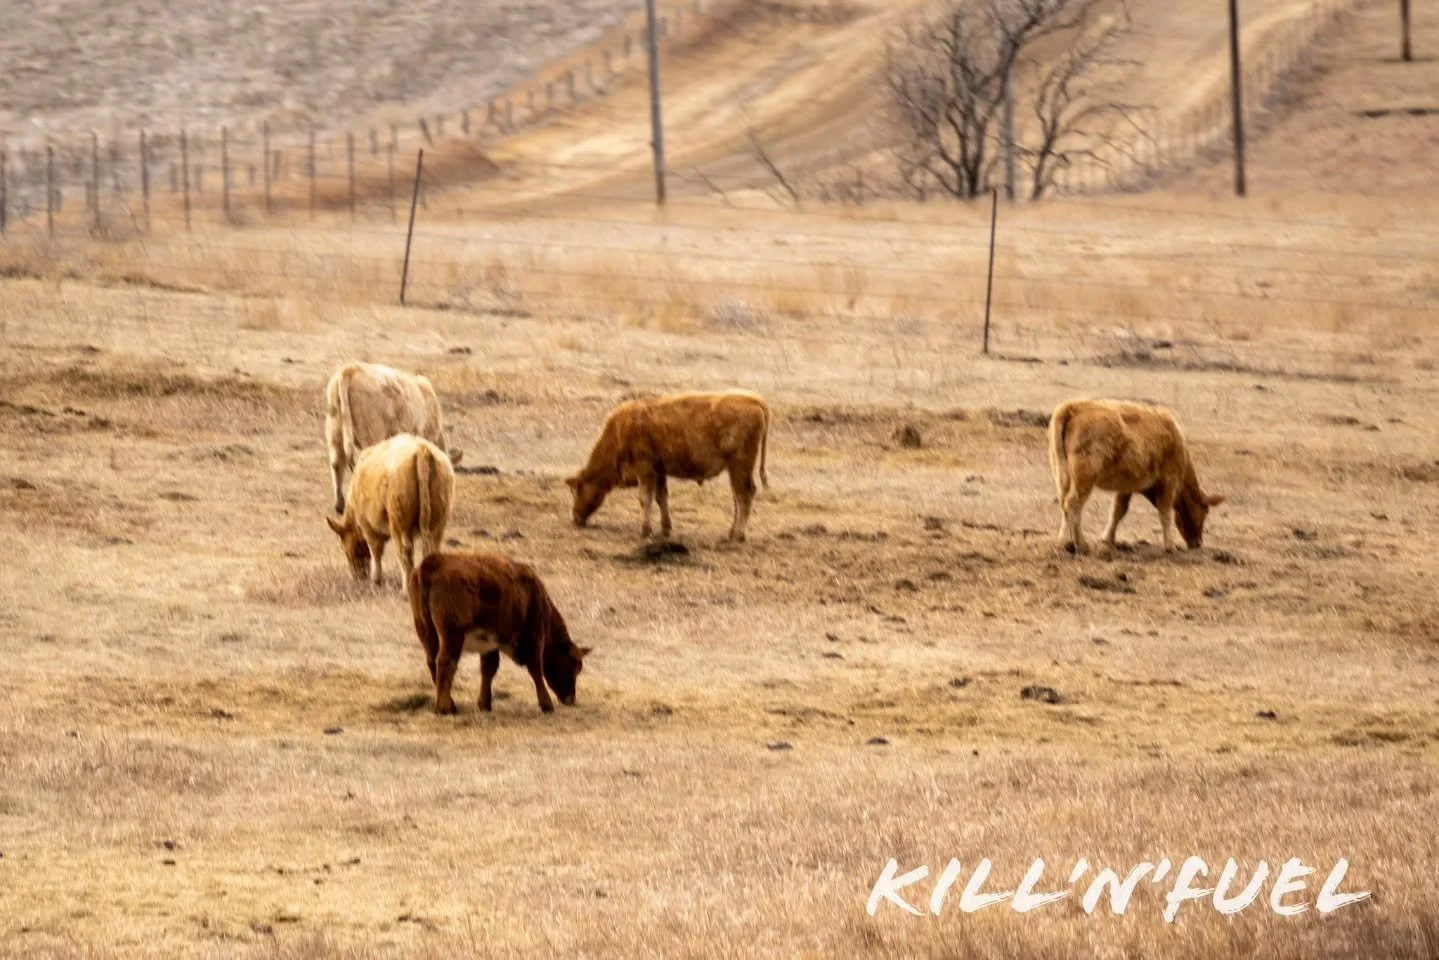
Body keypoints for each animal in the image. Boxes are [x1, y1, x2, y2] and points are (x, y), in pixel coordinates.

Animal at [325, 433, 454, 591]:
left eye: (343, 547)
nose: (358, 576)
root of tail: (421, 449)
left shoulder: (367, 524)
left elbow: (375, 549)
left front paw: (376, 580)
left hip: (399, 524)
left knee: (404, 552)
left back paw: (405, 590)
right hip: (438, 523)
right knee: (431, 549)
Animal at [408, 552, 592, 715]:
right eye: (575, 666)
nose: (570, 699)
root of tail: (435, 561)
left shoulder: (490, 644)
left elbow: (488, 669)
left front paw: (484, 703)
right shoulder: (534, 635)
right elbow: (535, 668)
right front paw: (546, 704)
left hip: (426, 632)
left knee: (432, 661)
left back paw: (450, 704)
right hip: (452, 634)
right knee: (446, 662)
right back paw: (445, 707)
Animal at [566, 391, 771, 542]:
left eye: (577, 489)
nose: (575, 518)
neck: (620, 430)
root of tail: (755, 400)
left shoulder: (645, 467)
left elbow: (645, 498)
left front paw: (645, 530)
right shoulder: (659, 470)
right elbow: (661, 497)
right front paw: (665, 529)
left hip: (740, 465)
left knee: (744, 495)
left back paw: (738, 535)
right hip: (735, 469)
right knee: (738, 496)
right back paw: (731, 532)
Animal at [1048, 398, 1225, 554]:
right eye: (1205, 511)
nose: (1197, 543)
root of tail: (1073, 408)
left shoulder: (1126, 486)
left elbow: (1118, 511)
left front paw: (1107, 540)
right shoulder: (1168, 481)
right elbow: (1165, 512)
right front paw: (1169, 546)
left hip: (1063, 476)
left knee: (1064, 504)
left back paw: (1064, 543)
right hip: (1084, 479)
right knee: (1073, 503)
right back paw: (1082, 545)